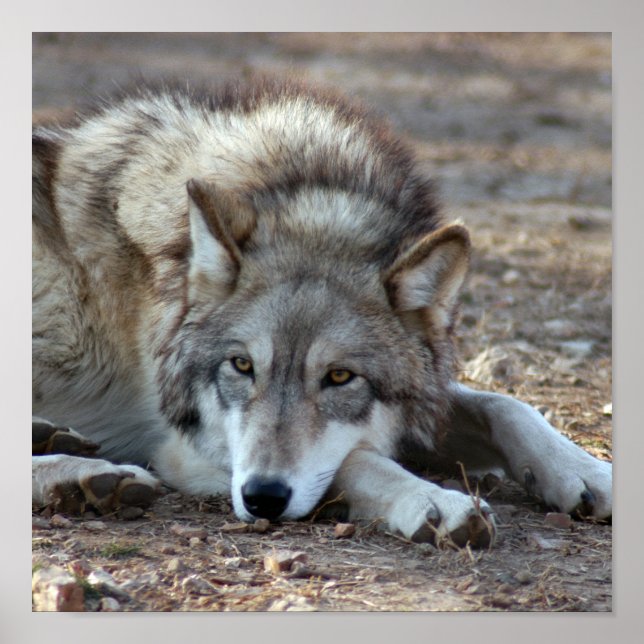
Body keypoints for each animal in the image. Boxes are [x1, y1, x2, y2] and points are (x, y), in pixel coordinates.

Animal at [32, 78, 612, 547]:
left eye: (339, 377)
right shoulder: (189, 444)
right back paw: (81, 478)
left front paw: (586, 471)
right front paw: (435, 501)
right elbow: (357, 458)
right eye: (241, 366)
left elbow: (505, 405)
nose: (263, 497)